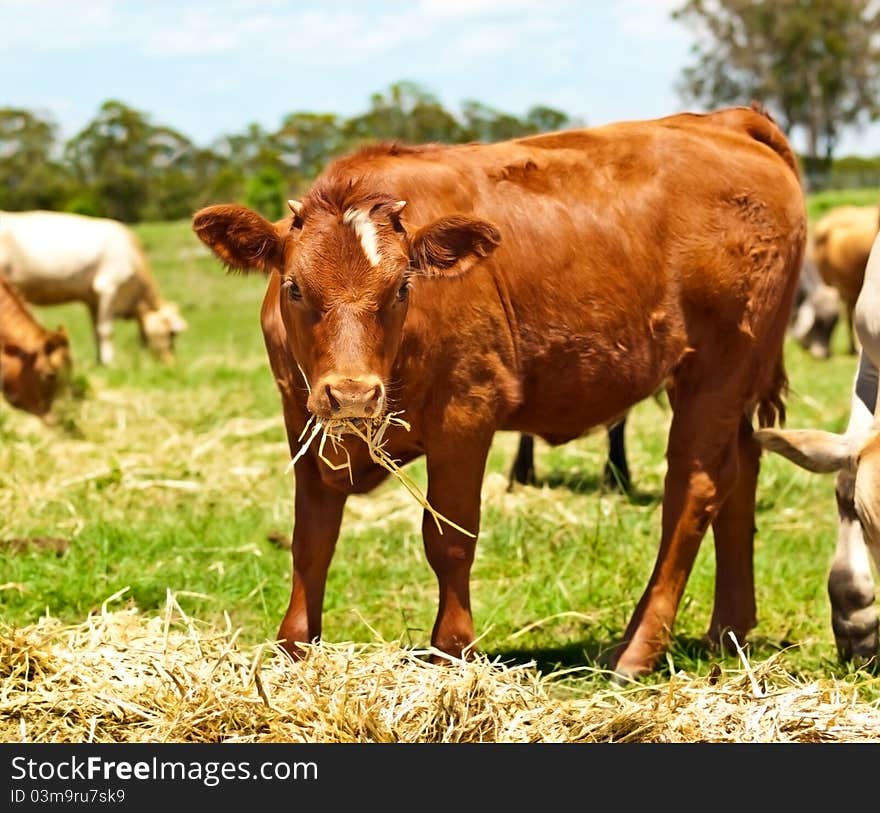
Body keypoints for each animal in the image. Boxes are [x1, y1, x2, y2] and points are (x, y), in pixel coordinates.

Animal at [0, 209, 187, 364]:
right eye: (172, 334)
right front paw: (110, 362)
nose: (171, 363)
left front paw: (100, 362)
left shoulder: (92, 299)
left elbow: (96, 330)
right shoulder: (108, 286)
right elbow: (106, 330)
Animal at [192, 106, 804, 680]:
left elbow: (449, 538)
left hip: (720, 369)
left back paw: (639, 648)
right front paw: (293, 649)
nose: (353, 395)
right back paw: (727, 630)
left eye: (403, 287)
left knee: (692, 491)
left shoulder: (465, 417)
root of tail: (727, 123)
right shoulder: (303, 421)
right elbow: (312, 541)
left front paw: (452, 653)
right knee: (740, 471)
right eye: (295, 287)